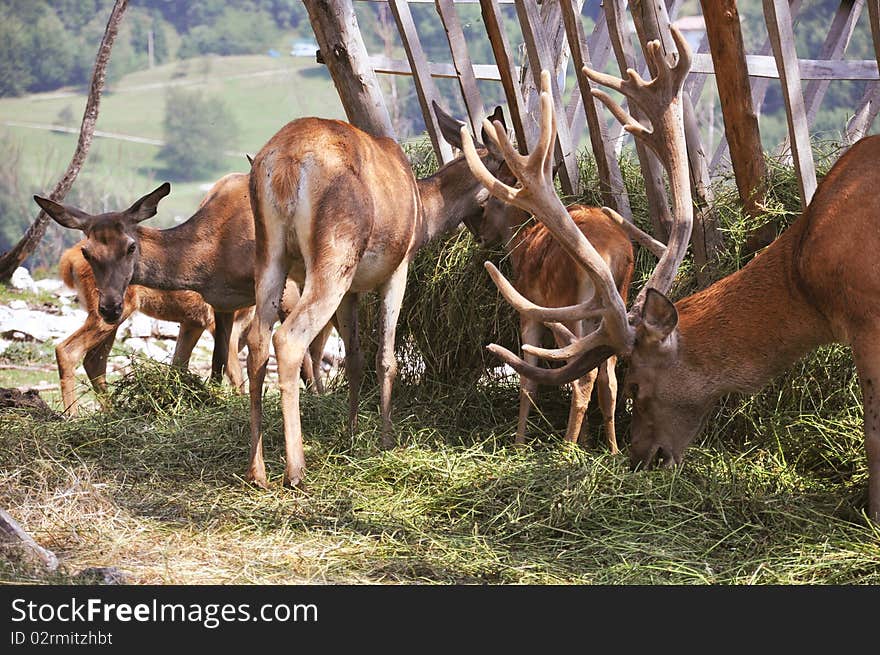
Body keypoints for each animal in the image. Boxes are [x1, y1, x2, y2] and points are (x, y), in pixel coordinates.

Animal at [56, 241, 253, 416]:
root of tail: (69, 258)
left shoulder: (193, 321)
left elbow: (178, 366)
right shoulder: (219, 320)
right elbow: (237, 376)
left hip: (111, 316)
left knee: (93, 361)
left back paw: (111, 413)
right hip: (110, 310)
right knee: (67, 350)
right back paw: (72, 415)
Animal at [244, 106, 512, 486]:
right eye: (511, 173)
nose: (492, 237)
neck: (425, 213)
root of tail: (285, 165)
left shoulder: (353, 290)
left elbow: (356, 357)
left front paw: (352, 433)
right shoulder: (398, 268)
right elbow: (386, 357)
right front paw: (386, 439)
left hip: (271, 253)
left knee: (257, 339)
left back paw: (257, 470)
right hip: (334, 254)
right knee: (289, 338)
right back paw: (295, 469)